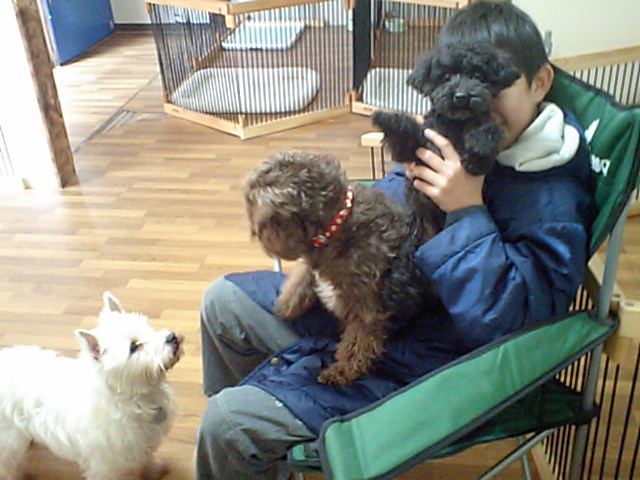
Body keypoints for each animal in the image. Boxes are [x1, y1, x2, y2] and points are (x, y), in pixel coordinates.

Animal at [0, 292, 184, 480]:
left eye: (148, 327)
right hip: (9, 440)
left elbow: (146, 459)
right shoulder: (106, 462)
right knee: (6, 464)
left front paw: (155, 469)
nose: (172, 337)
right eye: (134, 347)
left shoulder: (141, 443)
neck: (133, 396)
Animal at [244, 150, 443, 386]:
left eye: (254, 202)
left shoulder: (366, 309)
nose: (255, 233)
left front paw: (340, 371)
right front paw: (288, 302)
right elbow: (303, 275)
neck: (336, 224)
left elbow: (355, 345)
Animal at [372, 43, 521, 241]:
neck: (456, 123)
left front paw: (478, 149)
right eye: (446, 77)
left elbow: (488, 129)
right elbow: (407, 133)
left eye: (477, 75)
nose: (461, 96)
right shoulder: (414, 150)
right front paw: (384, 117)